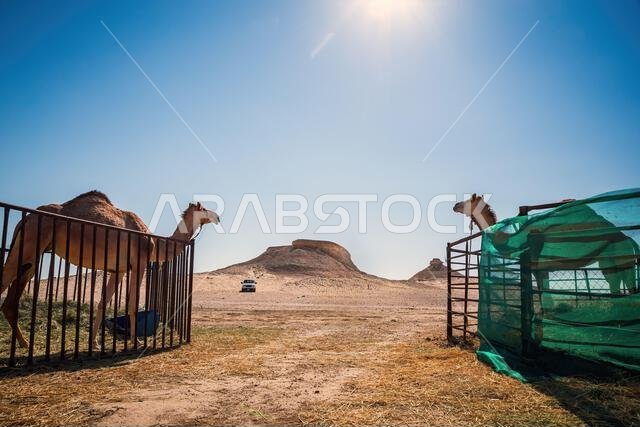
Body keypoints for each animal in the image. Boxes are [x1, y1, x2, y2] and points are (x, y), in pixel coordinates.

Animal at [0, 191, 219, 349]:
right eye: (204, 208)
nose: (217, 216)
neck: (155, 243)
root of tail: (25, 219)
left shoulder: (118, 270)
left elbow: (102, 303)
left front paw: (94, 343)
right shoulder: (139, 262)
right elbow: (132, 304)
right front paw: (136, 341)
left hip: (30, 258)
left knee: (10, 300)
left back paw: (24, 343)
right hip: (31, 242)